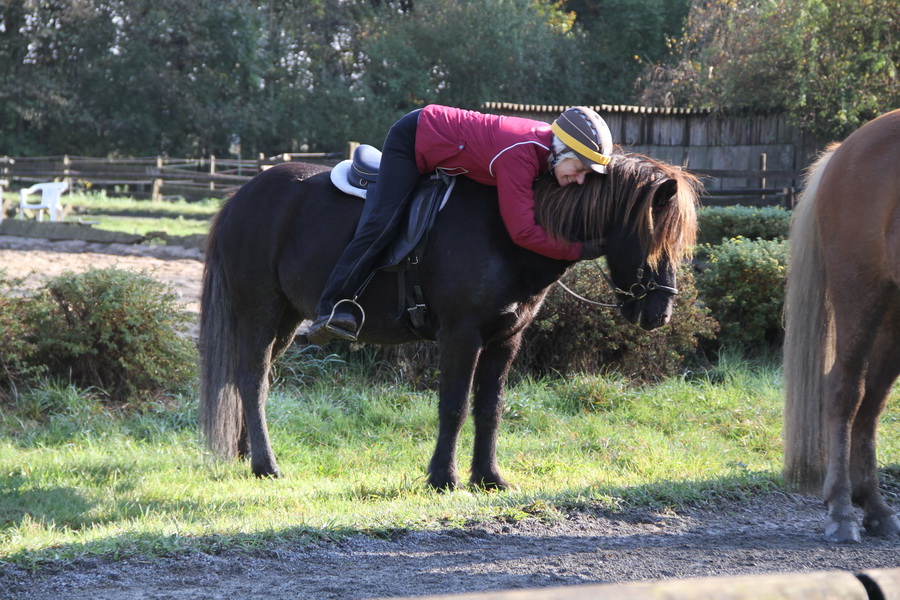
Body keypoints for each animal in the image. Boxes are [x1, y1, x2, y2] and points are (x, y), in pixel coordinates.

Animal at [198, 150, 699, 490]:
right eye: (652, 236)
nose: (660, 313)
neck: (507, 229)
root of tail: (239, 198)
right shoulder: (462, 336)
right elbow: (454, 406)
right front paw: (444, 477)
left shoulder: (505, 340)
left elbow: (490, 408)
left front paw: (489, 477)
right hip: (259, 310)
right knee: (252, 380)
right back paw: (266, 464)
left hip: (285, 320)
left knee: (251, 380)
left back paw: (247, 455)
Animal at [783, 108, 900, 543]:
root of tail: (844, 149)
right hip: (860, 290)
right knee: (845, 391)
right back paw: (843, 509)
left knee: (872, 401)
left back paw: (875, 506)